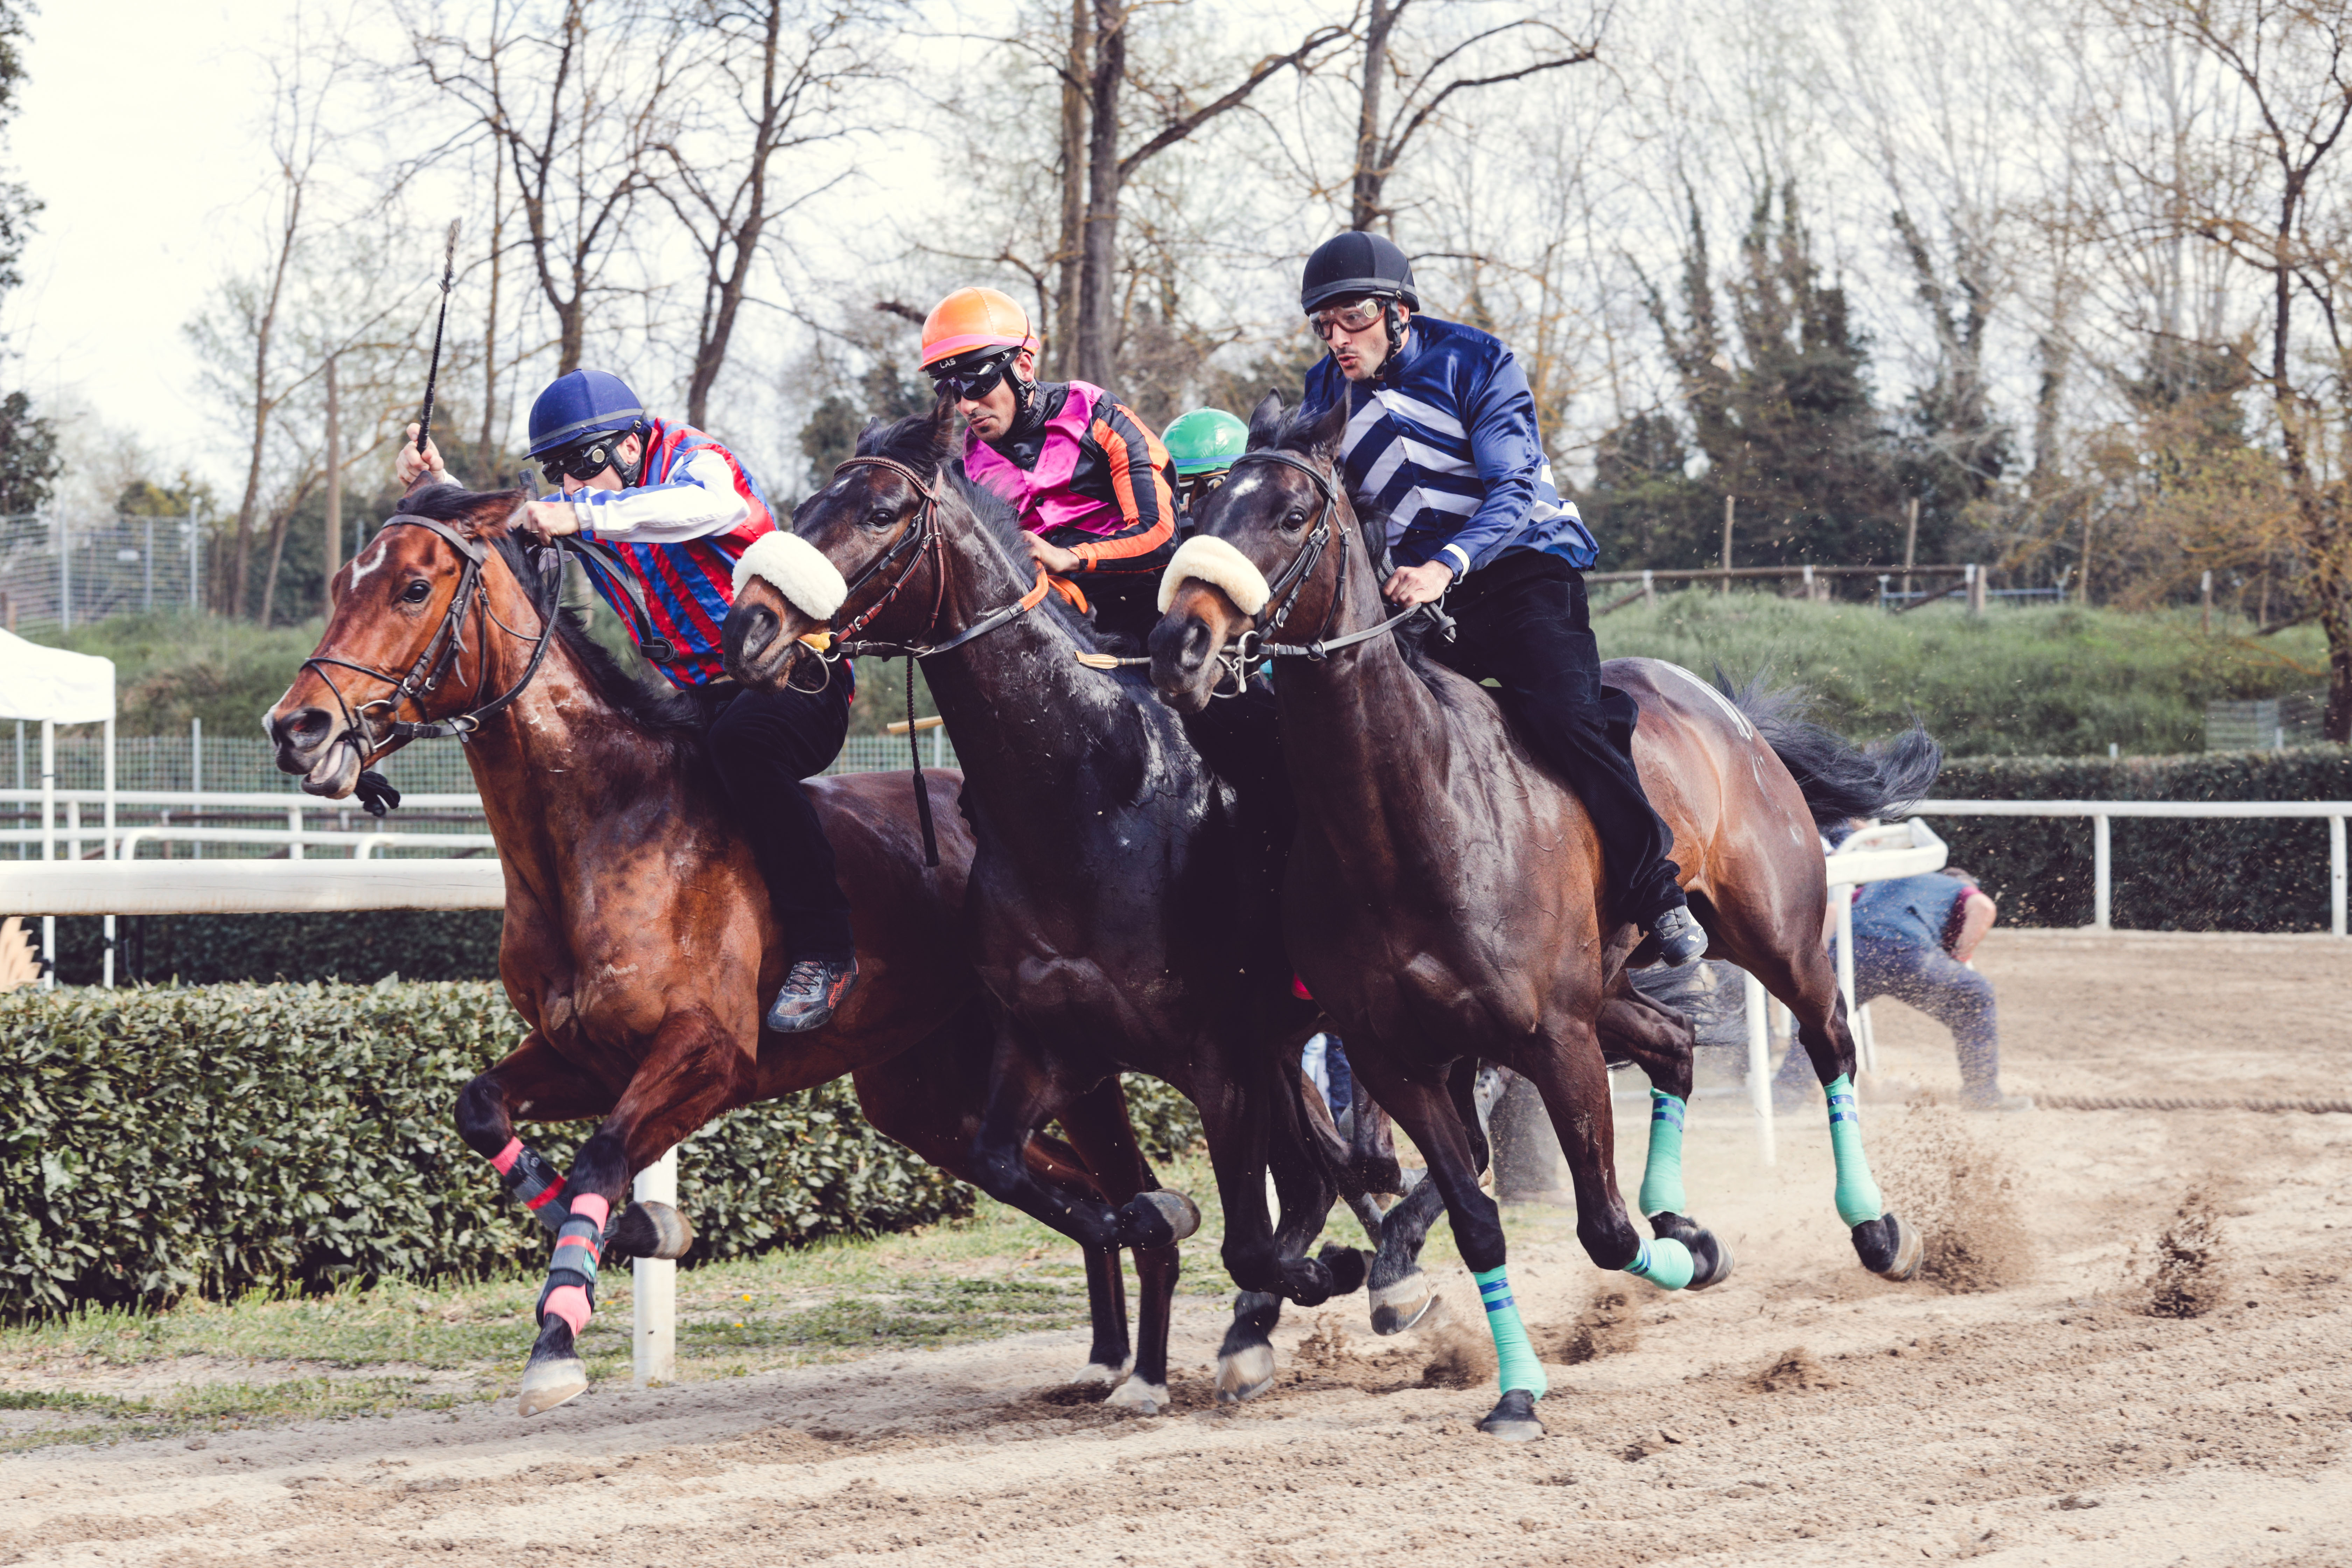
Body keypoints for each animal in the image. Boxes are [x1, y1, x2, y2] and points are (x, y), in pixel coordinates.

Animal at [269, 484, 1185, 1420]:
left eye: (414, 587)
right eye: (340, 583)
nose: (296, 727)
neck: (598, 823)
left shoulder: (710, 1053)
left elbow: (604, 1155)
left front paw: (562, 1331)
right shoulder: (586, 1053)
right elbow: (482, 1108)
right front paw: (636, 1227)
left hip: (1058, 1054)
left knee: (1123, 1185)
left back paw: (1148, 1352)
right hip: (920, 1092)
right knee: (1071, 1182)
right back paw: (1108, 1352)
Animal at [724, 404, 1373, 1410]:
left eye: (880, 511)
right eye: (803, 506)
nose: (750, 624)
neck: (1089, 795)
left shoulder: (1218, 1055)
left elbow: (1249, 1237)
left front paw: (1310, 1274)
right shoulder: (1055, 1045)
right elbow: (1029, 1174)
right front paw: (1159, 1223)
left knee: (1361, 1162)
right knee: (1319, 1171)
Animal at [1148, 399, 1938, 1438]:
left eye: (1287, 512)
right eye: (1200, 507)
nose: (1179, 647)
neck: (1403, 818)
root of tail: (1729, 711)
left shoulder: (1550, 1038)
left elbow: (1602, 1228)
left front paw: (1669, 1261)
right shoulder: (1399, 1057)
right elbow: (1479, 1219)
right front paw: (1522, 1385)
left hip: (1775, 934)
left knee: (1827, 1040)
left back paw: (1875, 1227)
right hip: (1608, 987)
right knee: (1676, 1042)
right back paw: (1685, 1215)